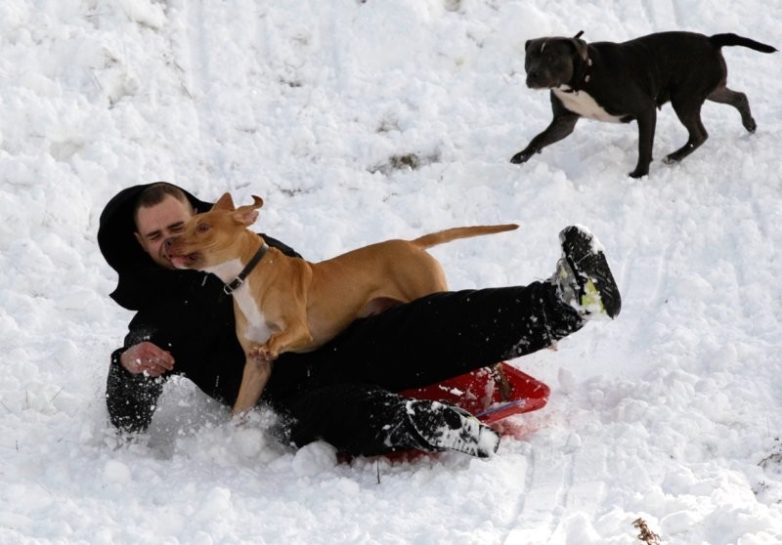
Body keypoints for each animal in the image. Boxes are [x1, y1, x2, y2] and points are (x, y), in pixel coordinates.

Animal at [516, 31, 776, 177]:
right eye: (529, 58)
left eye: (552, 57)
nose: (533, 75)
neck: (582, 78)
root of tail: (712, 41)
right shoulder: (564, 121)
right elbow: (539, 138)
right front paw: (521, 157)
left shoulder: (645, 109)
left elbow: (644, 146)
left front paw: (639, 174)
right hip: (710, 90)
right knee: (739, 97)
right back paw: (749, 124)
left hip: (685, 99)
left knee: (699, 135)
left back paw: (674, 157)